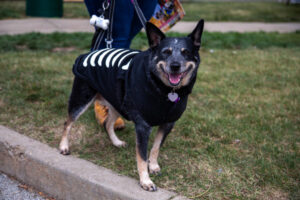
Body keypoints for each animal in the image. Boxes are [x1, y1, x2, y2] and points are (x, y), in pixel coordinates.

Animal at [58, 19, 204, 191]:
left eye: (186, 52)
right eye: (166, 52)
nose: (175, 65)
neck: (165, 89)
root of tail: (88, 53)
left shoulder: (168, 123)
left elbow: (155, 148)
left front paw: (153, 166)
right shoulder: (142, 126)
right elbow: (142, 156)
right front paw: (145, 181)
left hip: (117, 102)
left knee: (108, 123)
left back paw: (116, 142)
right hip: (81, 98)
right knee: (68, 122)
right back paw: (63, 146)